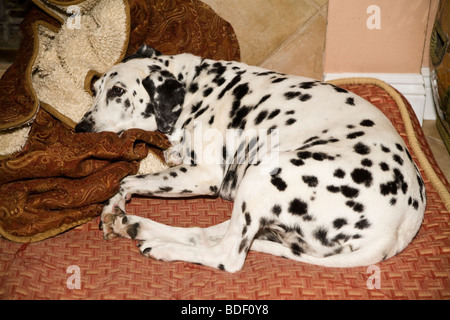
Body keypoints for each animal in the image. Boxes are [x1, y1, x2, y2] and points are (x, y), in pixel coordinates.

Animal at [76, 45, 426, 272]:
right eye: (97, 87)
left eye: (118, 91)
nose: (81, 128)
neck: (196, 87)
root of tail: (398, 230)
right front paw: (114, 210)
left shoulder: (202, 175)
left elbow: (125, 180)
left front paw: (114, 202)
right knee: (205, 235)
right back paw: (138, 227)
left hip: (262, 176)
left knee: (227, 256)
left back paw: (162, 247)